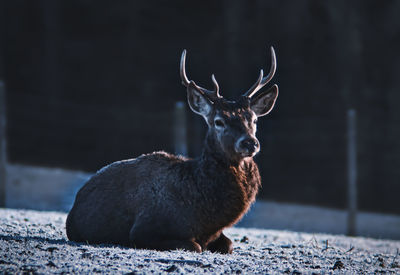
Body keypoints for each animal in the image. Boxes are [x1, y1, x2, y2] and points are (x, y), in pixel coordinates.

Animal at [65, 47, 278, 254]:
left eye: (254, 119)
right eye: (219, 121)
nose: (250, 143)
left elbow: (229, 245)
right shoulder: (143, 228)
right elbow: (196, 246)